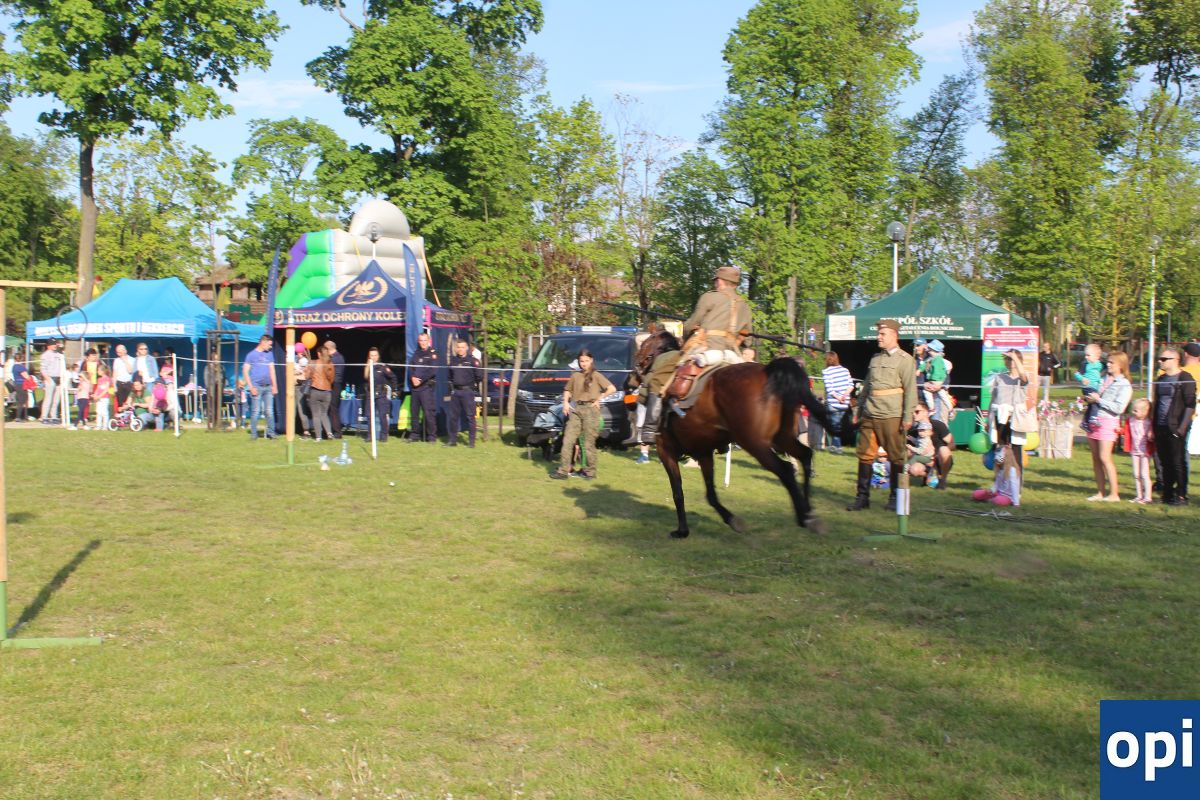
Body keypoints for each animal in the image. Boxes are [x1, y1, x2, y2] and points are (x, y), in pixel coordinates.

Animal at [631, 331, 835, 538]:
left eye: (643, 346)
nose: (632, 378)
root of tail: (769, 371)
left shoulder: (666, 450)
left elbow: (678, 492)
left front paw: (682, 530)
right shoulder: (704, 453)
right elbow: (710, 494)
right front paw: (731, 519)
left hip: (755, 443)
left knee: (785, 469)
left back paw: (804, 516)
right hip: (781, 438)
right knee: (805, 455)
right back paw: (809, 512)